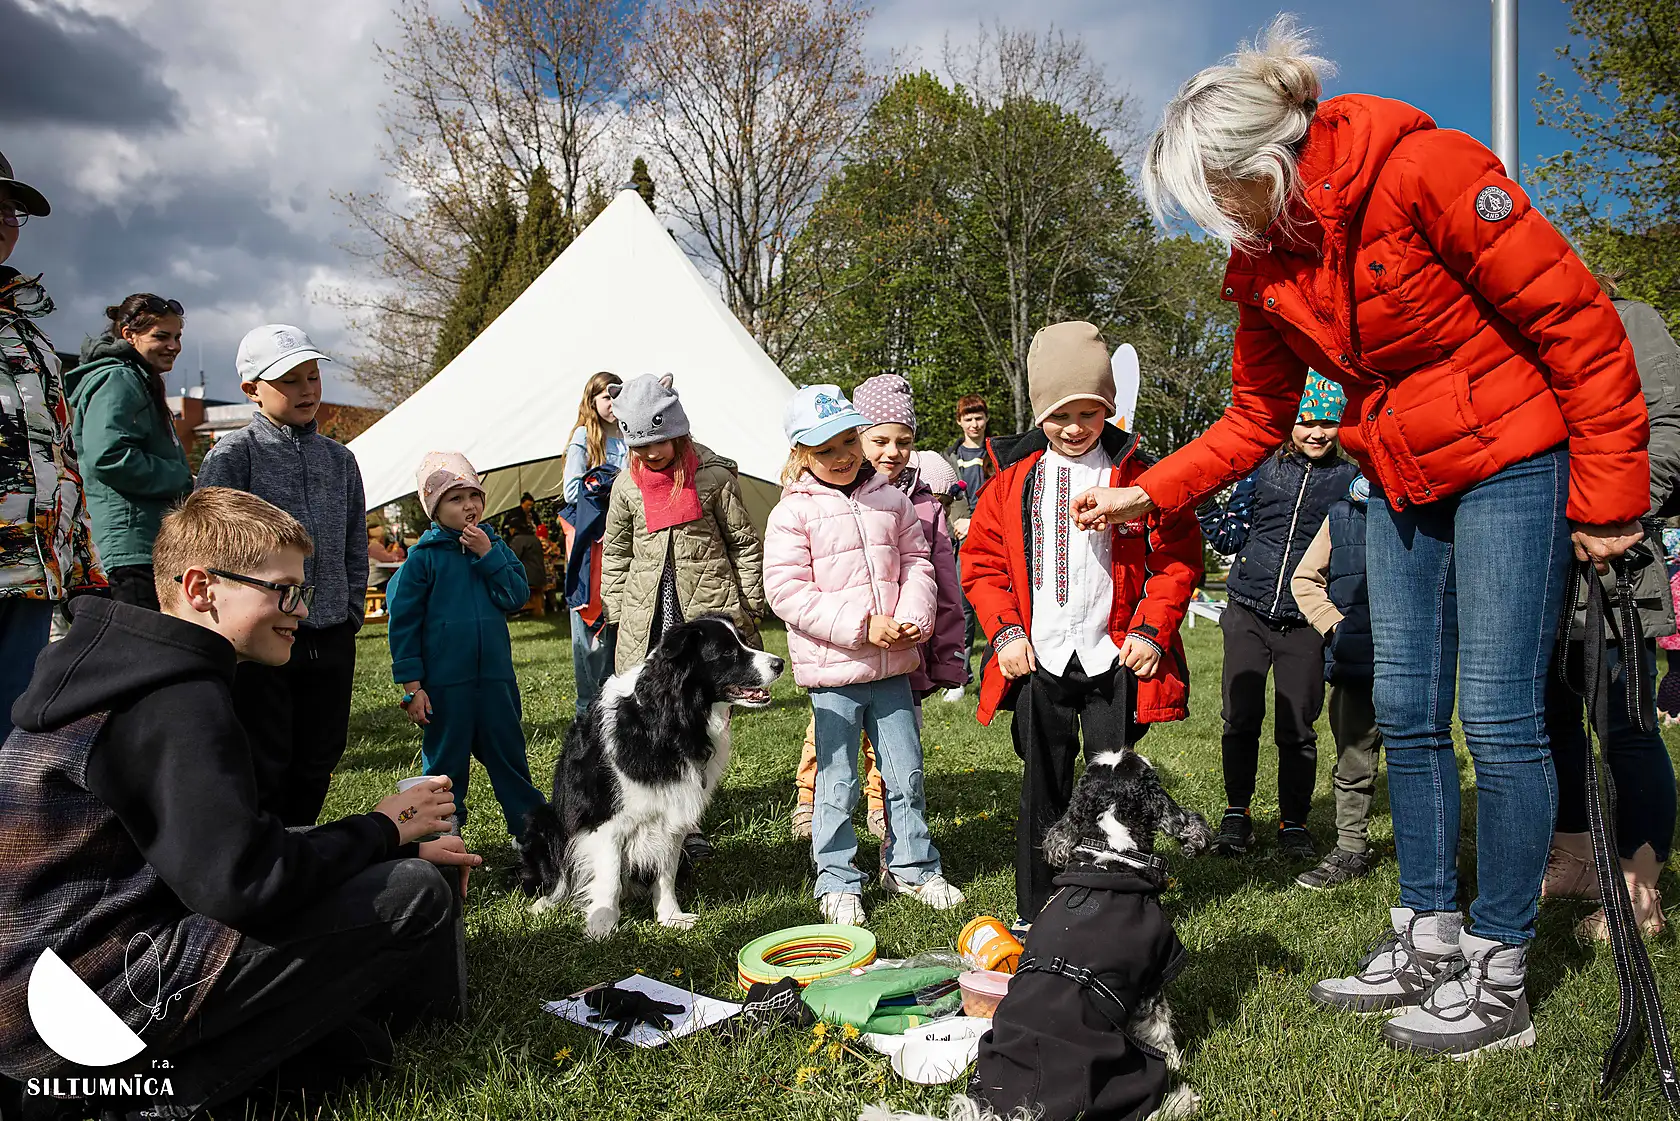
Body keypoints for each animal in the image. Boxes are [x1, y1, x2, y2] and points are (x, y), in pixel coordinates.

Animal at [518, 615, 783, 939]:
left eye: (744, 642)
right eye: (727, 652)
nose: (781, 663)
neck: (668, 722)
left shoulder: (672, 815)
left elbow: (665, 873)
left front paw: (670, 917)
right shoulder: (605, 820)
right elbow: (609, 877)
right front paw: (602, 927)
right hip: (543, 819)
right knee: (558, 877)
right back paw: (545, 904)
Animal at [865, 751, 1209, 1121]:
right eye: (1138, 764)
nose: (1131, 748)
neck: (1110, 856)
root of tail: (1021, 1107)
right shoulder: (1154, 977)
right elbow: (1161, 1031)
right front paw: (1177, 1061)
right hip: (1129, 1076)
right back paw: (1182, 1099)